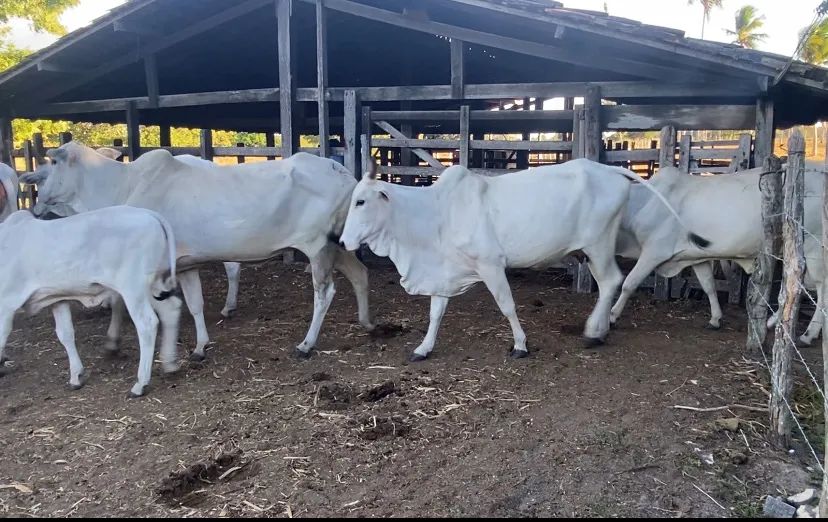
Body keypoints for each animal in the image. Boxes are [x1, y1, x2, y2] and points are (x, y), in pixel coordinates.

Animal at [0, 206, 181, 397]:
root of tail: (149, 214)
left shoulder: (5, 305)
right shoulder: (58, 300)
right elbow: (65, 334)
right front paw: (76, 376)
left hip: (133, 288)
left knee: (147, 323)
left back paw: (141, 384)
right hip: (151, 287)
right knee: (171, 309)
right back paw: (170, 364)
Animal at [20, 142, 374, 360]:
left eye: (53, 161)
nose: (35, 200)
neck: (122, 186)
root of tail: (342, 172)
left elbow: (122, 301)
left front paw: (112, 342)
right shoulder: (184, 264)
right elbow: (194, 304)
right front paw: (201, 346)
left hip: (318, 246)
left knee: (324, 294)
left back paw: (306, 344)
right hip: (338, 244)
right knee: (360, 274)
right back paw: (367, 322)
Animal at [339, 160, 709, 361]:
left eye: (361, 201)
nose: (342, 241)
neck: (436, 214)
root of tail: (610, 170)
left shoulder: (490, 264)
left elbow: (507, 305)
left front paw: (520, 344)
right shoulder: (444, 271)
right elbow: (435, 313)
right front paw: (423, 348)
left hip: (599, 244)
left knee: (612, 282)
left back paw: (594, 331)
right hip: (593, 249)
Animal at [610, 163, 825, 345]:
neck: (643, 204)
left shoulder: (653, 252)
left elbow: (629, 284)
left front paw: (612, 316)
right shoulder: (696, 257)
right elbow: (709, 286)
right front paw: (715, 319)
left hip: (813, 247)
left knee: (820, 289)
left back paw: (808, 335)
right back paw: (777, 324)